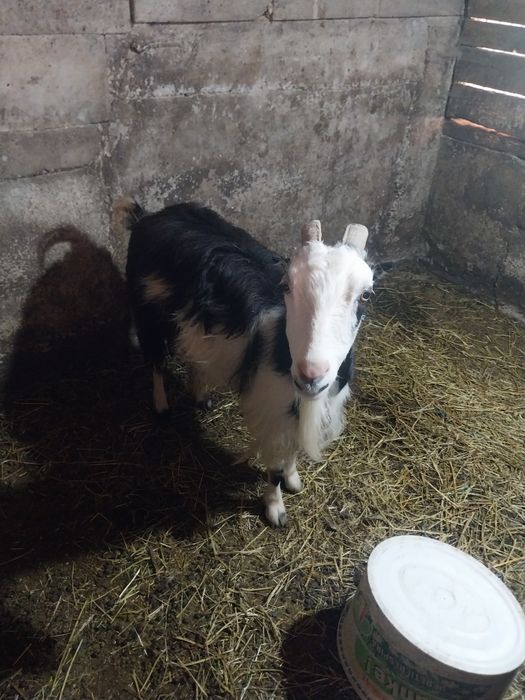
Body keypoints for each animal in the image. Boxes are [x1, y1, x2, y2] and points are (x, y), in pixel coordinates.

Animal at [121, 200, 374, 526]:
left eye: (365, 295)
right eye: (287, 285)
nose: (311, 374)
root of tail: (148, 216)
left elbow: (292, 452)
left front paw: (294, 479)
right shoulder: (271, 409)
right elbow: (274, 467)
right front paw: (275, 509)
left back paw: (200, 396)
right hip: (147, 308)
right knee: (155, 361)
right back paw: (162, 407)